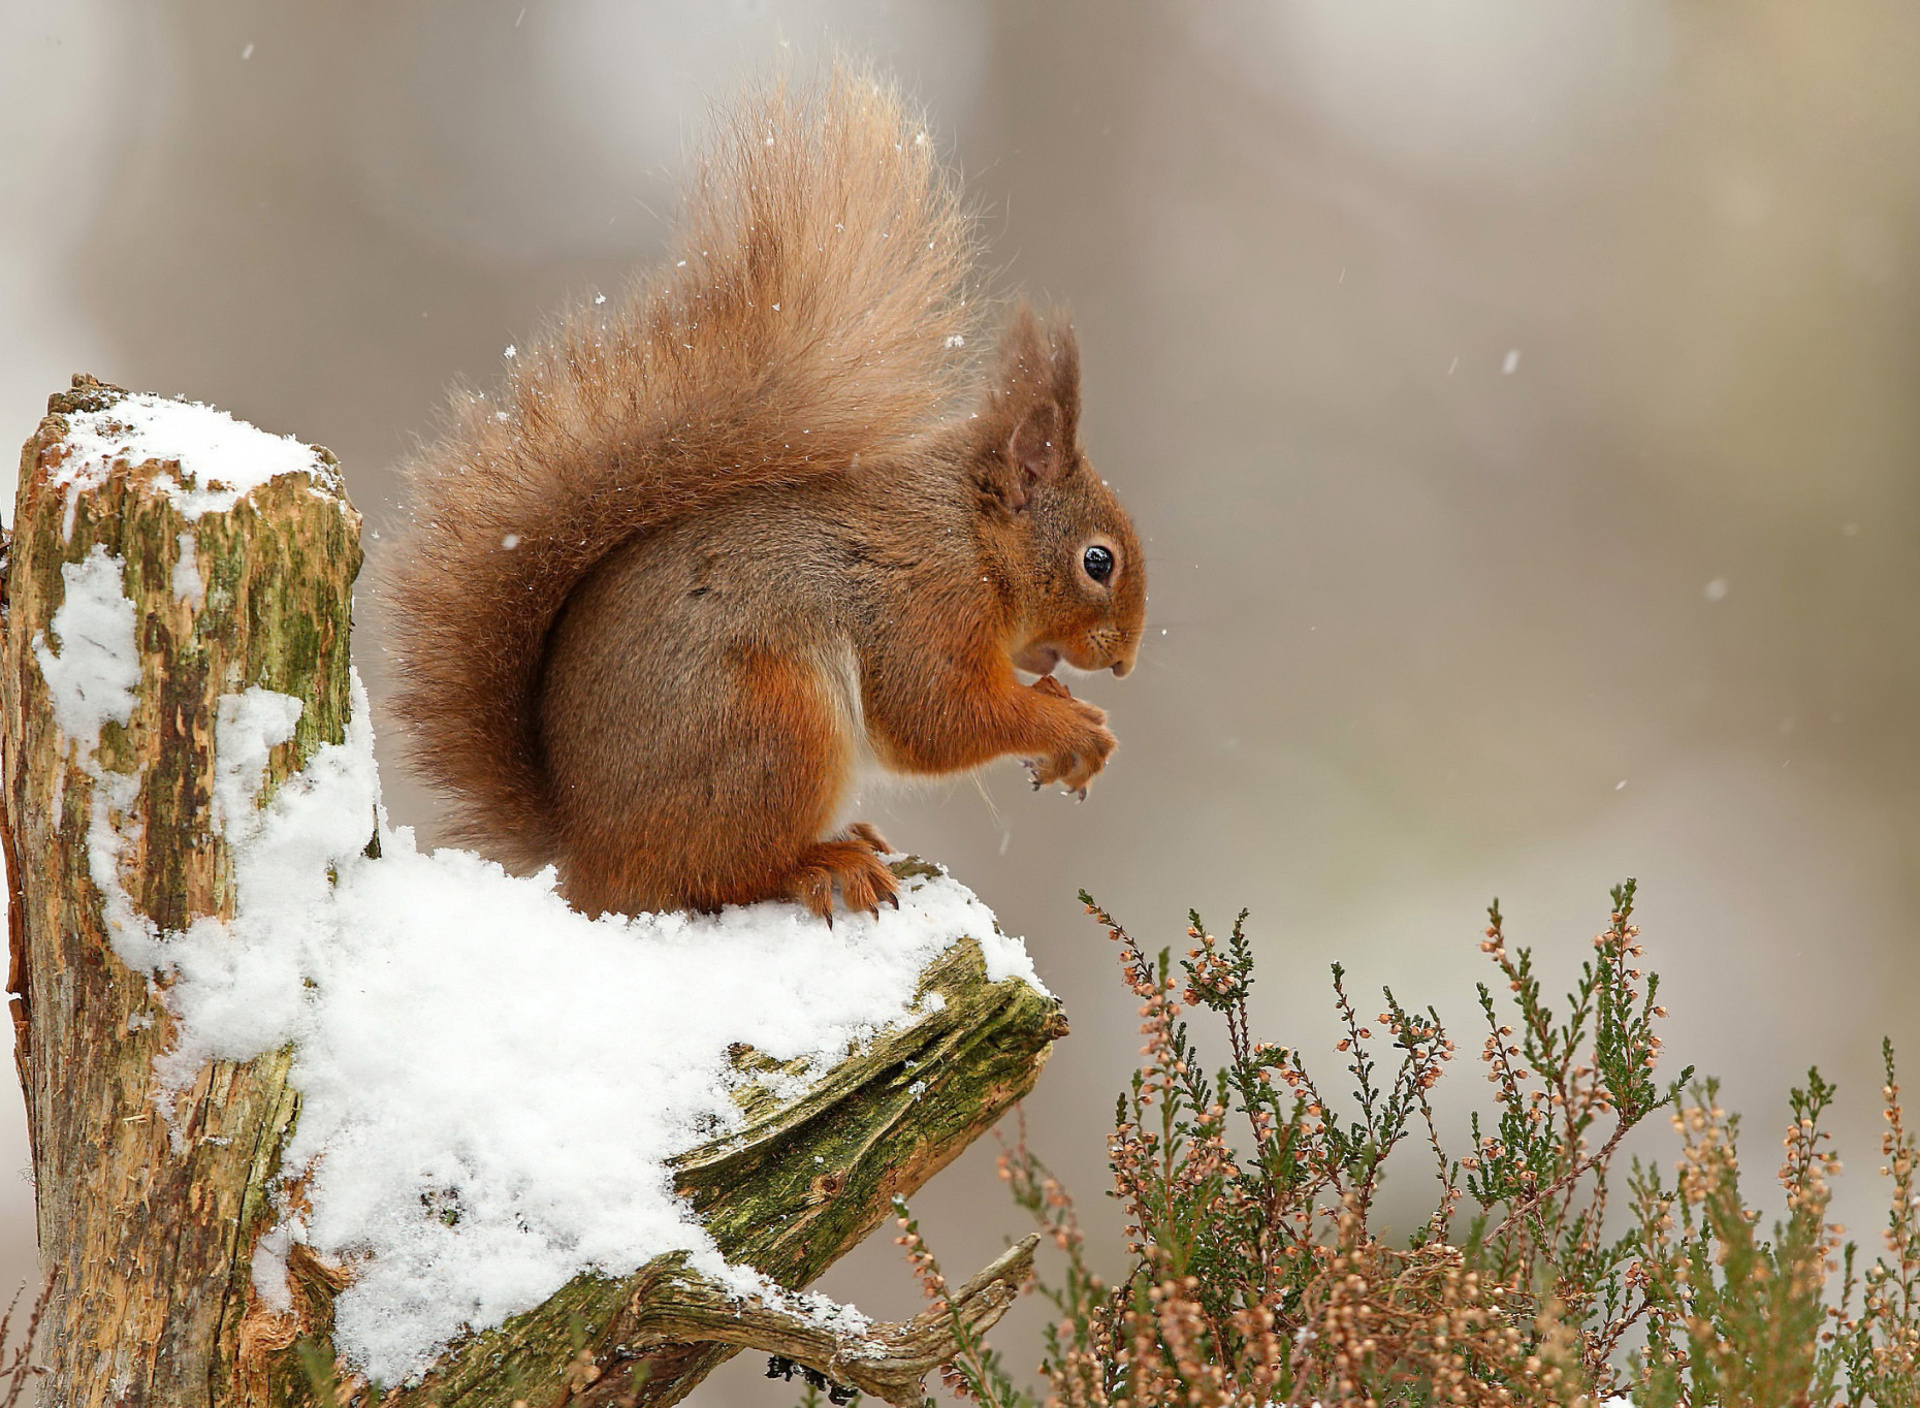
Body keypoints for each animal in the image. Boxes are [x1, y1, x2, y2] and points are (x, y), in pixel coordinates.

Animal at [382, 71, 1144, 918]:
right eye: (1098, 561)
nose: (1123, 662)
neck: (969, 537)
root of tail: (588, 860)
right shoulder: (924, 604)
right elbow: (938, 717)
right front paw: (1070, 725)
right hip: (775, 727)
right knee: (720, 875)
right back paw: (822, 862)